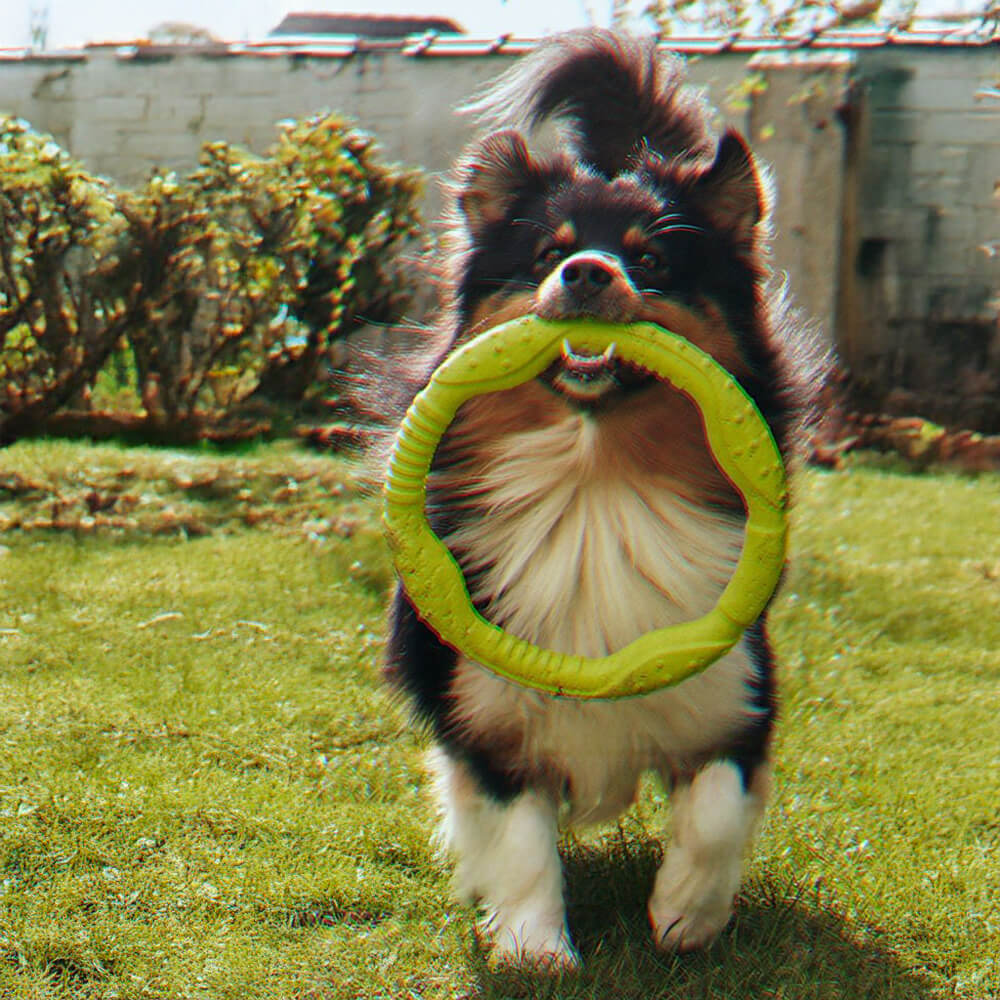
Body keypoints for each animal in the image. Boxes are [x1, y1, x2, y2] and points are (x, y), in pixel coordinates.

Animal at [382, 29, 820, 968]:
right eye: (549, 254)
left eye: (649, 259)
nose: (586, 273)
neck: (596, 477)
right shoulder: (483, 710)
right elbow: (516, 834)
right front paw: (534, 947)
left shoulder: (733, 685)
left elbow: (717, 809)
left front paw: (688, 913)